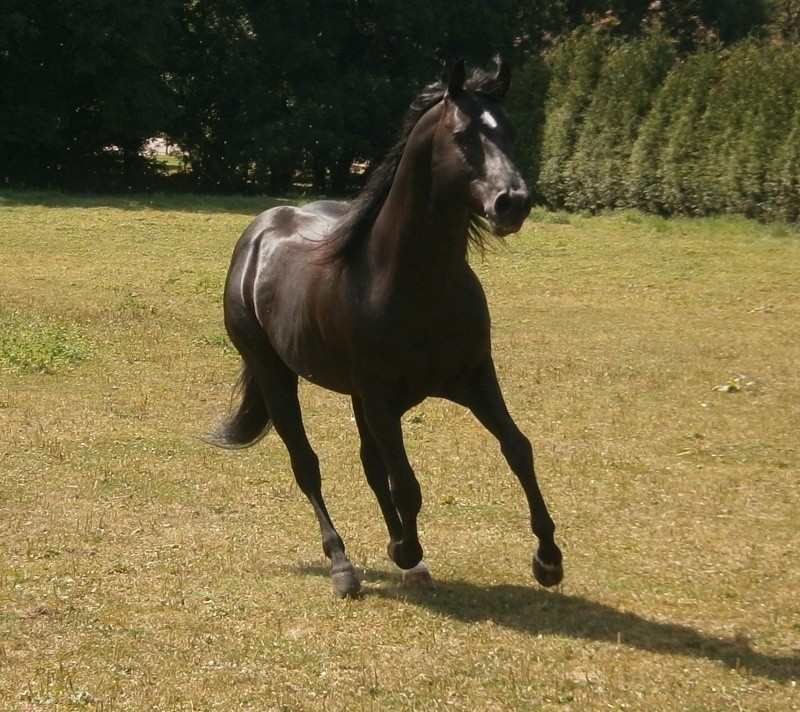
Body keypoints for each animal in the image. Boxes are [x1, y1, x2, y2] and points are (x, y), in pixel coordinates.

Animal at [209, 59, 564, 596]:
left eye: (512, 131)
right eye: (462, 135)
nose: (512, 202)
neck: (410, 284)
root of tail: (258, 232)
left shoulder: (474, 378)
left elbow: (518, 449)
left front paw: (548, 559)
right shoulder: (379, 397)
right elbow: (406, 484)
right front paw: (406, 551)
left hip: (356, 396)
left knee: (370, 464)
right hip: (276, 376)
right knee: (307, 465)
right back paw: (343, 566)